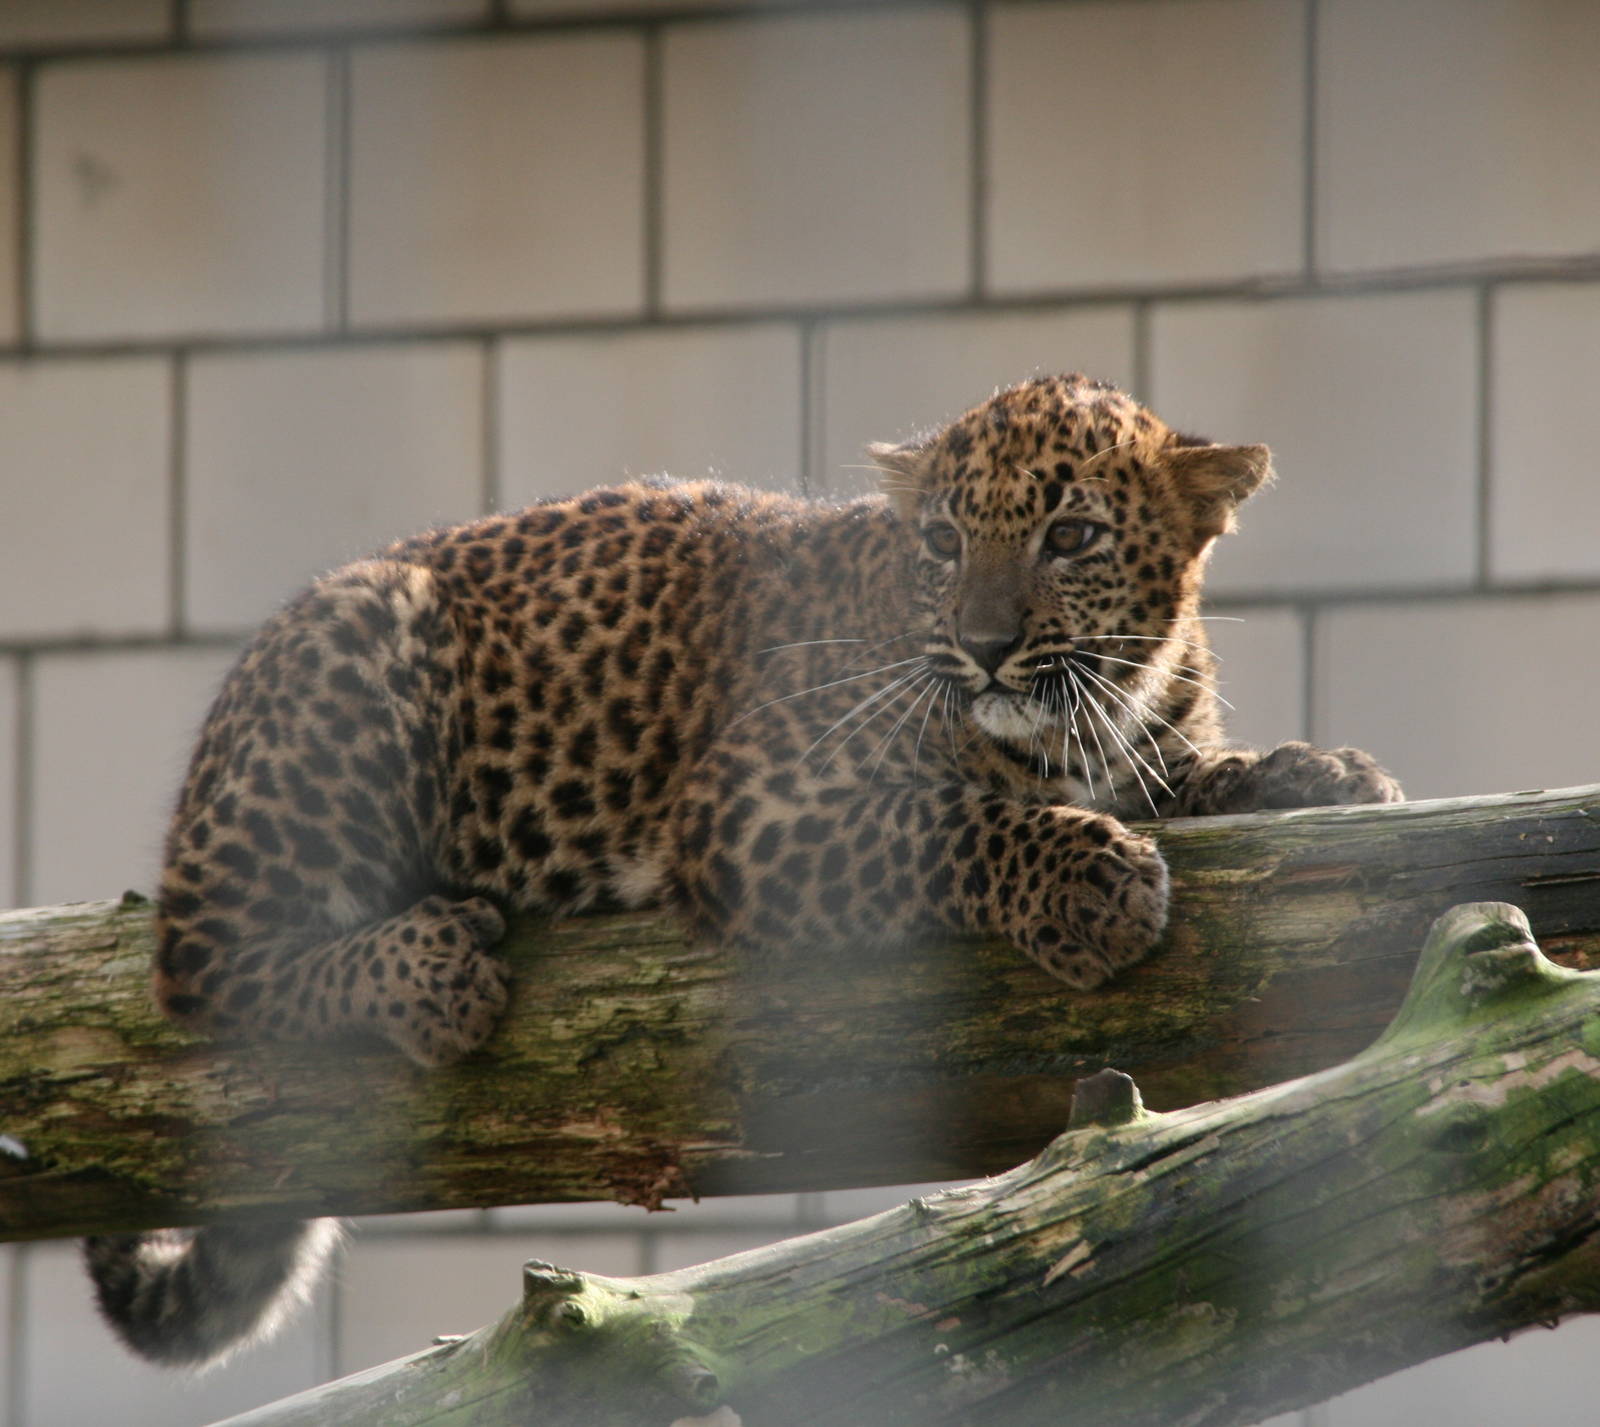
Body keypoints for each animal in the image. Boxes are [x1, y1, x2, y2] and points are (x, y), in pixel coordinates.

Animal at [85, 373, 1401, 1366]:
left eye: (1069, 535)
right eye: (943, 543)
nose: (980, 646)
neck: (1090, 721)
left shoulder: (1144, 753)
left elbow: (1202, 774)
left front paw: (1322, 773)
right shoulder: (758, 807)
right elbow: (953, 818)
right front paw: (1092, 885)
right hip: (362, 642)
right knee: (193, 966)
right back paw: (424, 968)